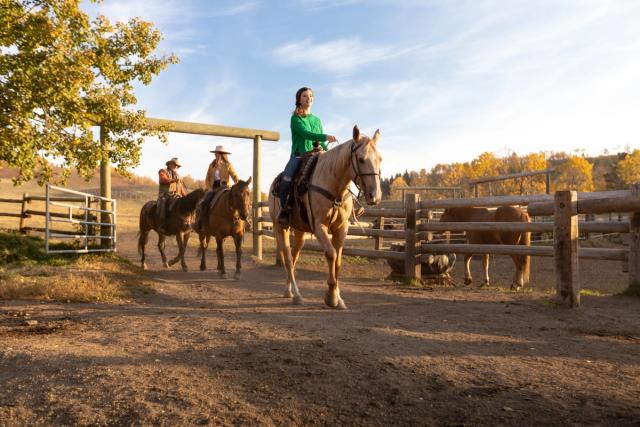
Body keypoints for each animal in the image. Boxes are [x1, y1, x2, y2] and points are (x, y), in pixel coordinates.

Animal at [268, 125, 382, 310]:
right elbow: (331, 254)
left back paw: (288, 291)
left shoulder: (341, 228)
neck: (334, 186)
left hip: (300, 231)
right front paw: (331, 297)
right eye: (361, 159)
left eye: (380, 159)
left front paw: (338, 297)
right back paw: (297, 295)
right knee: (288, 257)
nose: (375, 196)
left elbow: (339, 261)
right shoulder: (319, 227)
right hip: (280, 226)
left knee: (294, 256)